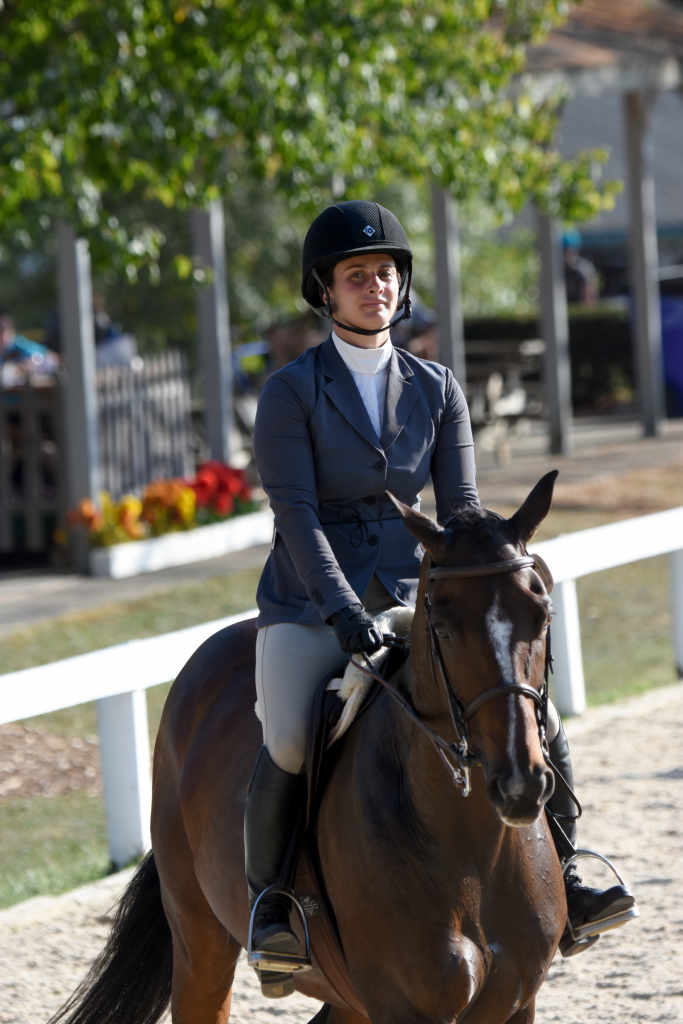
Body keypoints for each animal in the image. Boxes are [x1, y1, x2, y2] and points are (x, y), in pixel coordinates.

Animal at [50, 468, 565, 1024]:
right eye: (444, 630)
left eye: (543, 615)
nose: (519, 785)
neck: (474, 853)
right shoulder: (403, 1007)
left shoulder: (518, 1002)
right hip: (199, 940)